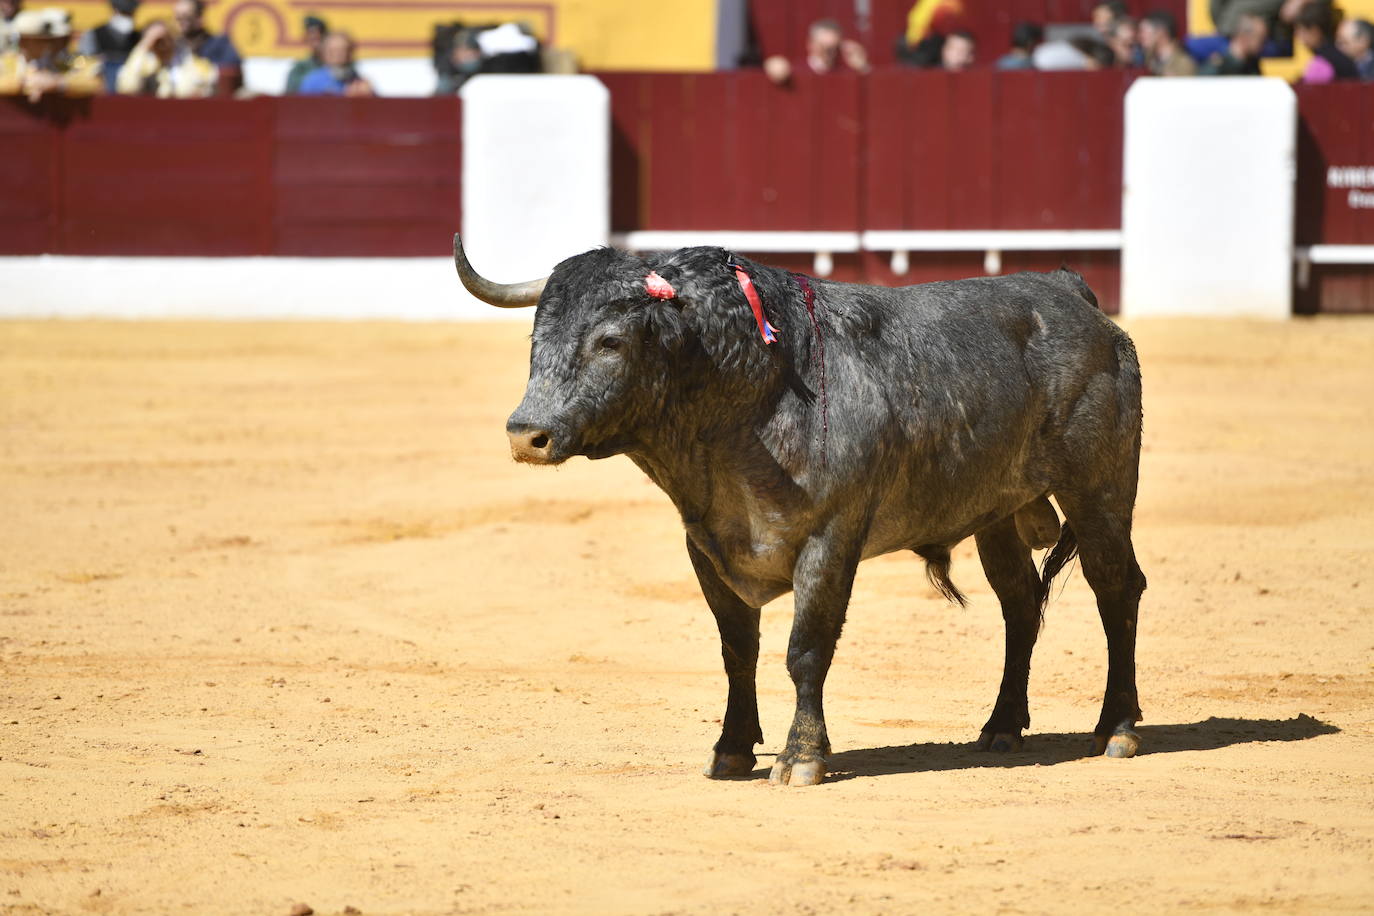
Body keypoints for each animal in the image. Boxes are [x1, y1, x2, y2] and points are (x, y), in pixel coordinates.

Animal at [456, 238, 1143, 791]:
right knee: (1020, 603)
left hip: (1099, 490)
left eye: (611, 341)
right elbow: (738, 650)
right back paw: (1001, 727)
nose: (527, 435)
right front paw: (730, 751)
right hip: (997, 510)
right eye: (536, 340)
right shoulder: (706, 545)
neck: (745, 401)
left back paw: (1116, 729)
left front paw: (801, 757)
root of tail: (1068, 290)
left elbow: (804, 649)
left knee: (1116, 589)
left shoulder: (829, 539)